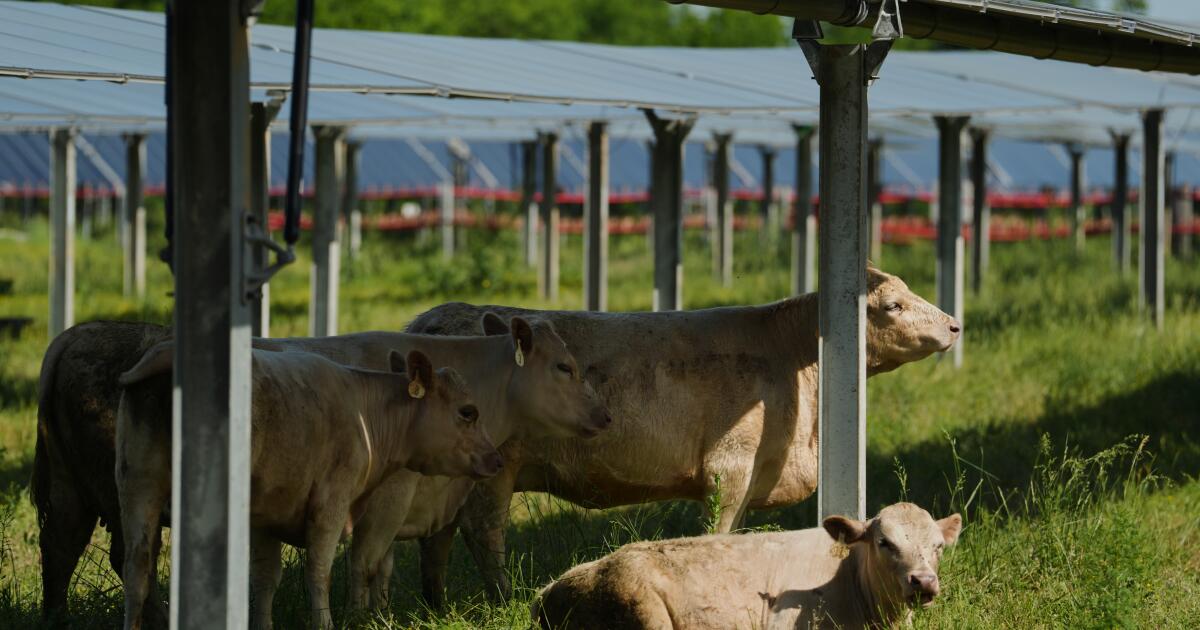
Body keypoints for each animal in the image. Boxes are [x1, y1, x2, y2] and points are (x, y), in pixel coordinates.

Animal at [116, 343, 501, 630]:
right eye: (468, 412)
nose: (496, 459)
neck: (365, 413)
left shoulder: (264, 518)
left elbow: (265, 578)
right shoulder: (331, 503)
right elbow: (320, 571)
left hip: (138, 486)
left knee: (137, 570)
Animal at [405, 267, 960, 599]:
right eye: (893, 305)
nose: (955, 325)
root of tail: (432, 319)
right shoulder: (729, 466)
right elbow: (719, 530)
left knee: (438, 536)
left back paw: (437, 604)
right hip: (492, 470)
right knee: (482, 531)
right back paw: (505, 597)